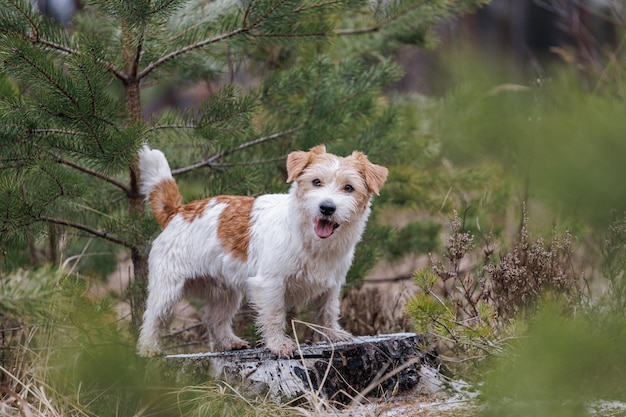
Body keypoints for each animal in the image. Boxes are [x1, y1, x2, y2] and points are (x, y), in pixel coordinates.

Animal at [136, 145, 386, 356]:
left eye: (349, 187)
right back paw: (148, 349)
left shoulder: (332, 285)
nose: (326, 207)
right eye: (316, 182)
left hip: (226, 293)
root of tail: (177, 211)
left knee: (215, 320)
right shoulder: (270, 284)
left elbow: (328, 311)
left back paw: (230, 342)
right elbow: (275, 316)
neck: (310, 239)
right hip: (167, 289)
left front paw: (333, 334)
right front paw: (279, 345)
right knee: (152, 318)